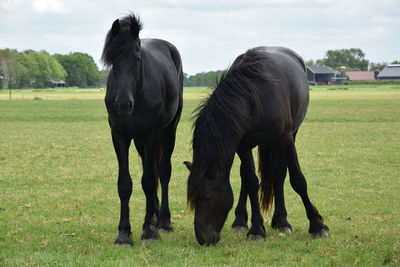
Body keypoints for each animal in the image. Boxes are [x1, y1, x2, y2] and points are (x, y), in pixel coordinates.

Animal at [103, 13, 184, 246]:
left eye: (137, 59)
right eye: (112, 61)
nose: (123, 104)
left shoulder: (152, 135)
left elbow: (148, 181)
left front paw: (148, 231)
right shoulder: (120, 136)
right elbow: (125, 184)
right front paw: (124, 233)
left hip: (168, 132)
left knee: (162, 171)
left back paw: (163, 220)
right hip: (140, 142)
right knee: (154, 170)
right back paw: (155, 216)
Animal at [184, 46, 328, 247]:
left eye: (204, 197)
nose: (202, 238)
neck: (253, 97)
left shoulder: (286, 139)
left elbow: (298, 181)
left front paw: (317, 225)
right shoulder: (242, 145)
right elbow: (251, 182)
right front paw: (257, 229)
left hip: (290, 136)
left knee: (279, 175)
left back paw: (282, 221)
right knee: (247, 177)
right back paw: (240, 221)